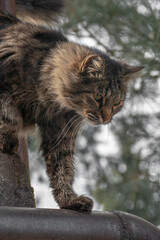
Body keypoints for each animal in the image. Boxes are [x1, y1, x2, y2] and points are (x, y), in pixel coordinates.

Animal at [0, 0, 144, 211]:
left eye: (117, 103)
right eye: (98, 97)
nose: (106, 118)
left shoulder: (60, 134)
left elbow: (62, 169)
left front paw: (69, 200)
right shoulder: (4, 88)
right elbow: (9, 114)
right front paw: (7, 140)